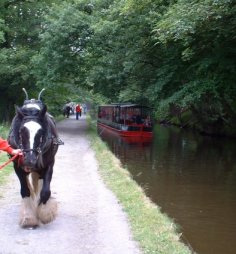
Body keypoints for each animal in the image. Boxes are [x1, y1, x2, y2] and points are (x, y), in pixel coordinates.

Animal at [8, 88, 61, 227]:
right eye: (21, 131)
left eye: (41, 132)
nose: (29, 160)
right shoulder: (18, 166)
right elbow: (25, 191)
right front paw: (29, 217)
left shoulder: (49, 164)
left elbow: (45, 191)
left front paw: (45, 213)